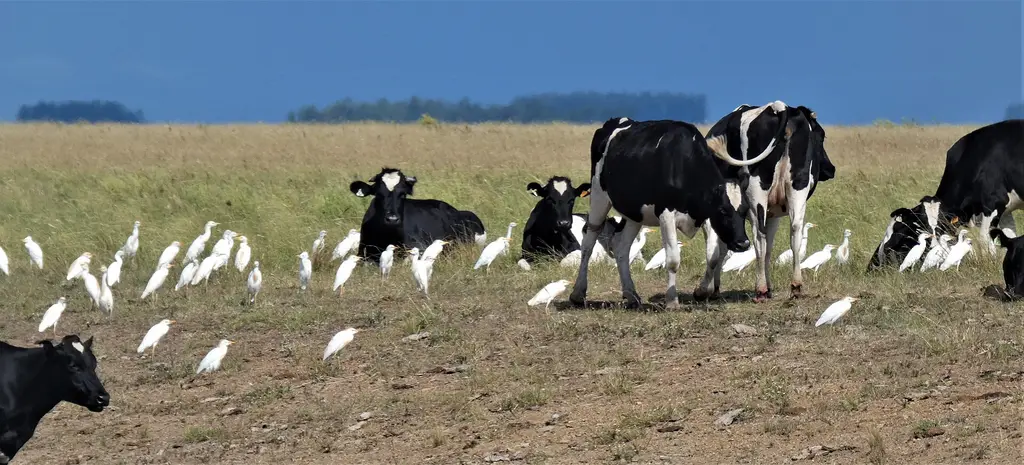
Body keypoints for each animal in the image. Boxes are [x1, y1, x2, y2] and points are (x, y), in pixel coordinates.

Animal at [349, 168, 488, 263]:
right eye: (378, 194)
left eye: (403, 194)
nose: (392, 219)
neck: (387, 236)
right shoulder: (363, 254)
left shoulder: (420, 248)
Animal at [568, 117, 757, 309]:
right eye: (723, 210)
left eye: (744, 211)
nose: (743, 243)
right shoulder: (667, 214)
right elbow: (673, 259)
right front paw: (672, 300)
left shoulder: (706, 216)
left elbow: (713, 256)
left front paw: (702, 291)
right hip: (599, 197)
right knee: (588, 243)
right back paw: (578, 293)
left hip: (634, 214)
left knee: (622, 247)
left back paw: (631, 294)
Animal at [696, 101, 837, 302]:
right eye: (821, 136)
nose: (830, 169)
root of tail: (781, 107)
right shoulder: (774, 214)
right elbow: (767, 248)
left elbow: (715, 252)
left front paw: (705, 289)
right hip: (797, 188)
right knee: (794, 230)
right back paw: (795, 286)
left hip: (757, 193)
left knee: (758, 235)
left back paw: (760, 289)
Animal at [869, 119, 1024, 268]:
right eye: (922, 224)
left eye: (896, 231)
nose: (875, 263)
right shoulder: (1006, 211)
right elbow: (1010, 236)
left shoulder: (993, 203)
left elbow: (984, 240)